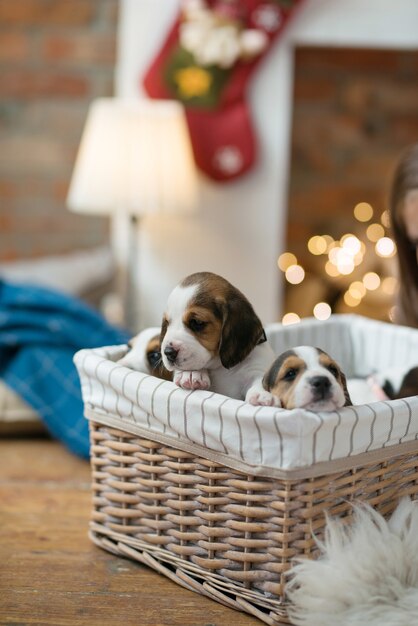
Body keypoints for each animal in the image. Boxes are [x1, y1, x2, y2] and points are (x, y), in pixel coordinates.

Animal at [158, 270, 280, 408]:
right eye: (167, 323)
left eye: (197, 322)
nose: (168, 352)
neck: (219, 367)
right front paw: (192, 373)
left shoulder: (256, 366)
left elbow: (258, 379)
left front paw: (261, 395)